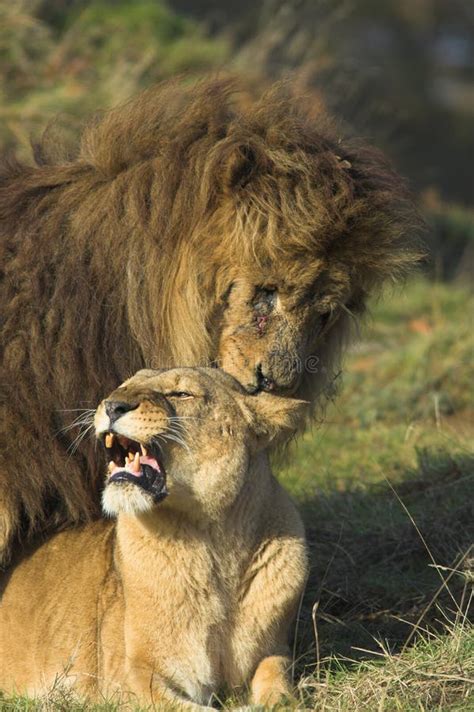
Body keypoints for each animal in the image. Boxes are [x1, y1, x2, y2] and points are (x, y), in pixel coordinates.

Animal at [0, 368, 310, 708]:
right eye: (122, 386)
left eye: (182, 394)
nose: (112, 406)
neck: (217, 542)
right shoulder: (131, 675)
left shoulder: (273, 652)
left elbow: (280, 687)